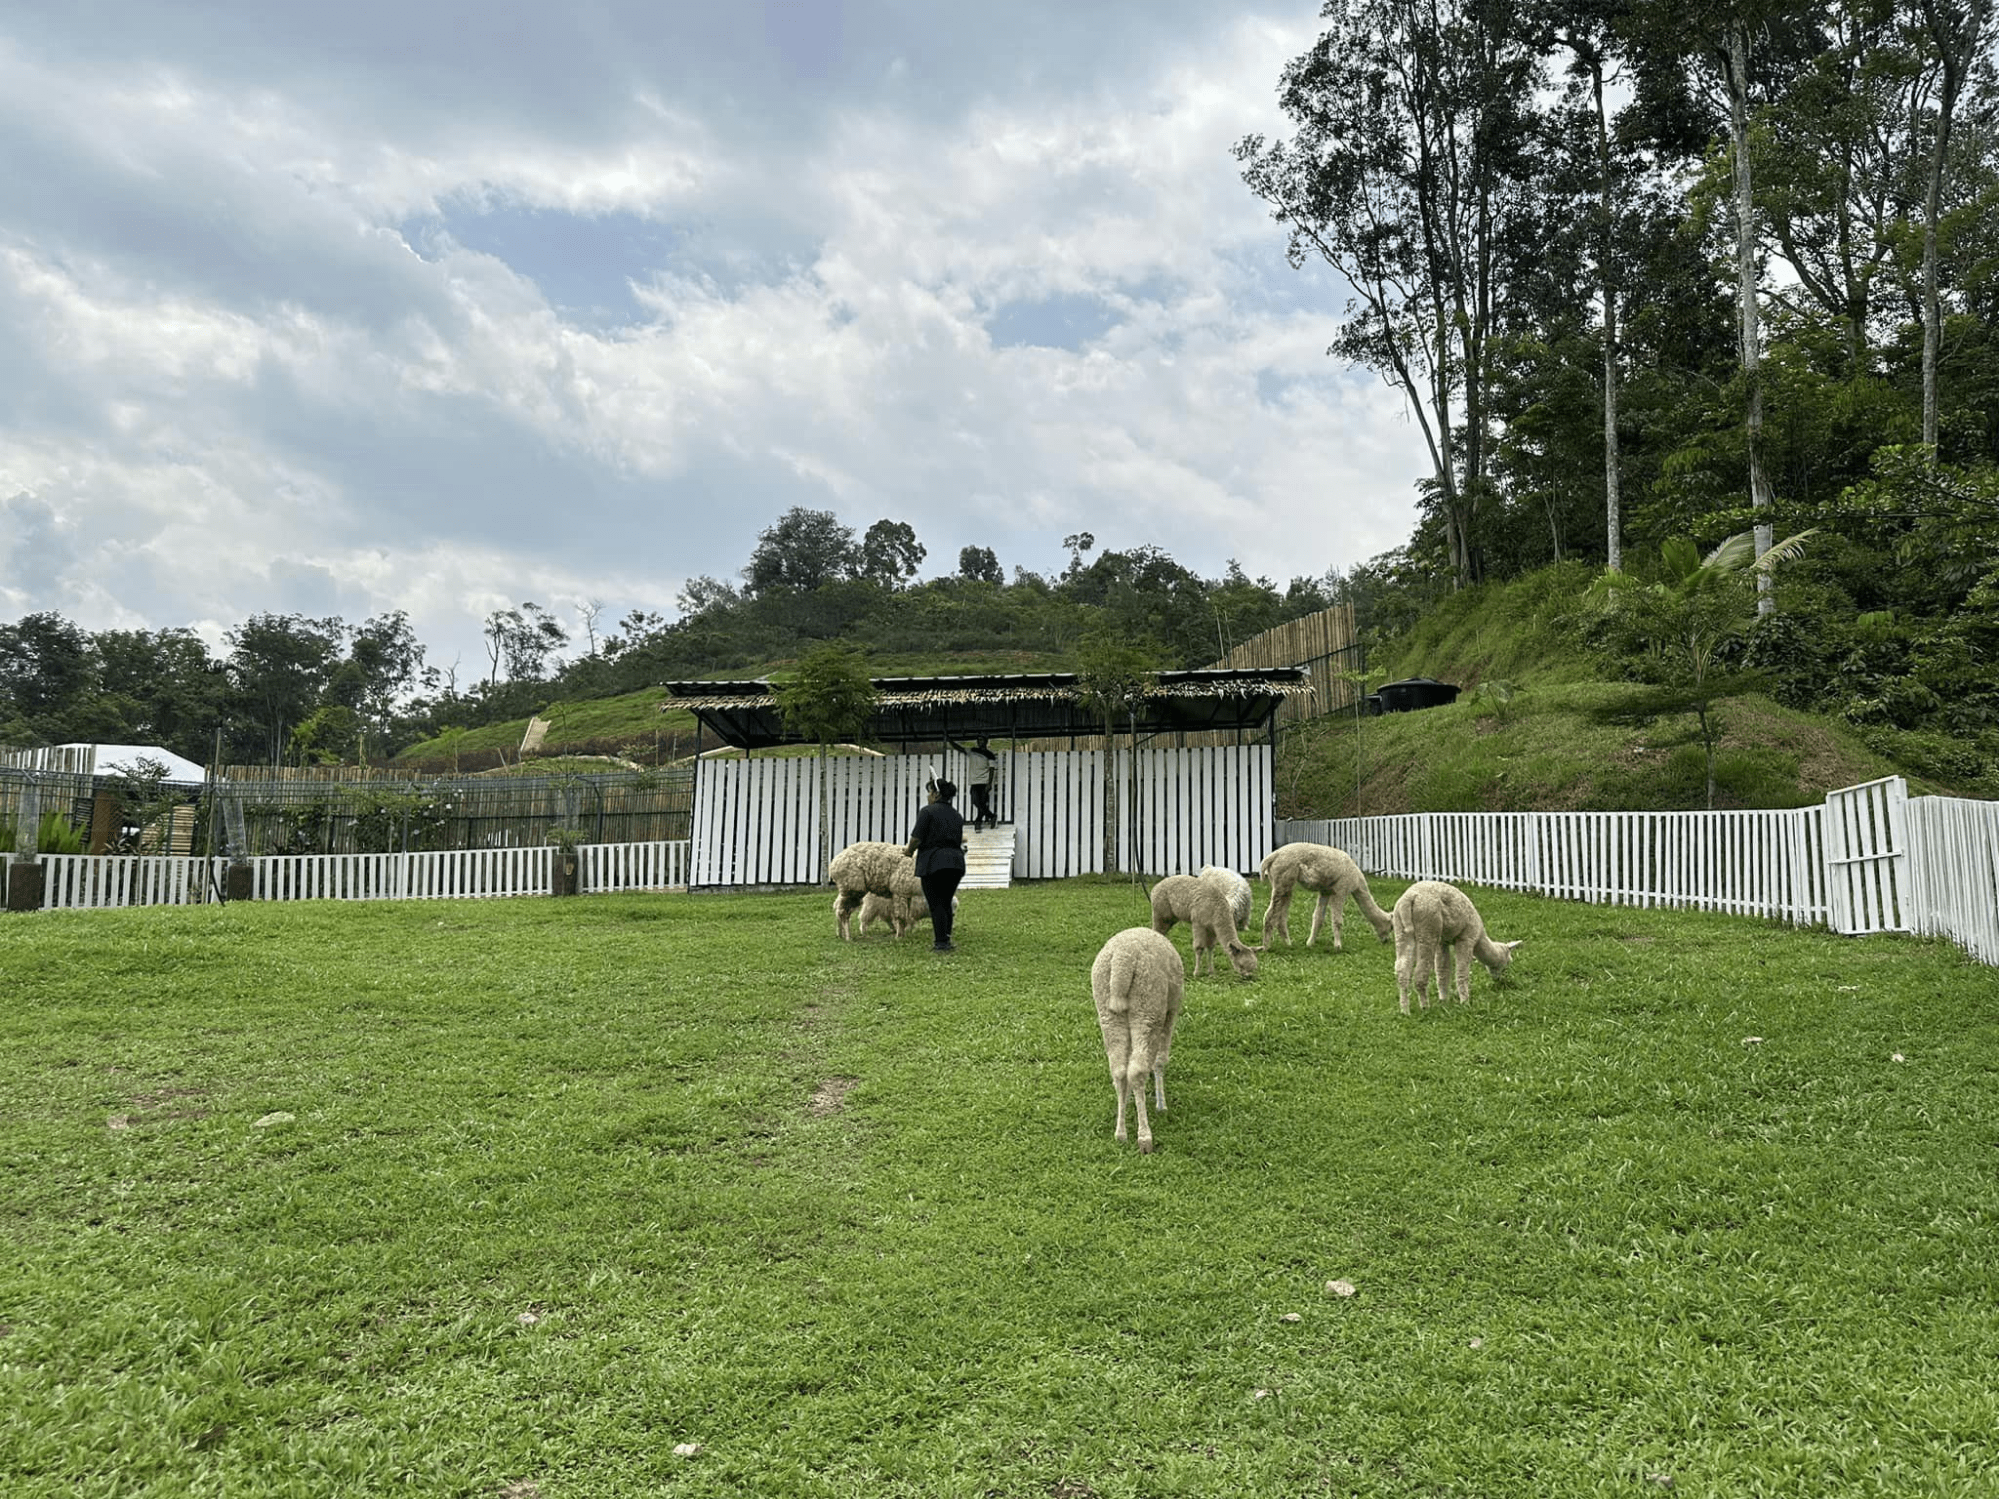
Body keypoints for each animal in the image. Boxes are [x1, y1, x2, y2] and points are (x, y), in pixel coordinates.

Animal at [1095, 928, 1183, 1160]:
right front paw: (1161, 1105)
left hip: (1108, 1013)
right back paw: (1144, 1137)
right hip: (1148, 1008)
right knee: (1136, 1071)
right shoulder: (1171, 1012)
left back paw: (1120, 1133)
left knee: (1119, 1071)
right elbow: (1160, 1060)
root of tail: (1122, 961)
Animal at [1263, 848, 1391, 952]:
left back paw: (1288, 944)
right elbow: (1338, 921)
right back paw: (1266, 947)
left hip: (1283, 884)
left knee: (1280, 916)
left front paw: (1310, 943)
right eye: (1391, 926)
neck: (1357, 883)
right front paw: (1338, 946)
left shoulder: (1325, 891)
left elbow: (1318, 918)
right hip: (1283, 880)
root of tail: (1271, 857)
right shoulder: (1340, 889)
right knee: (1270, 915)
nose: (1386, 941)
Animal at [1383, 880, 1519, 1024]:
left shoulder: (1443, 941)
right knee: (1420, 973)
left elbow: (1442, 971)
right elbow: (1462, 972)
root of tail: (1409, 898)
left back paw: (1404, 1010)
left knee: (1402, 970)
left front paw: (1443, 1000)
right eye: (1508, 962)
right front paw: (1465, 1002)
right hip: (1428, 925)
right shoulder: (1467, 938)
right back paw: (1425, 1006)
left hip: (1401, 929)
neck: (1479, 936)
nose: (1499, 979)